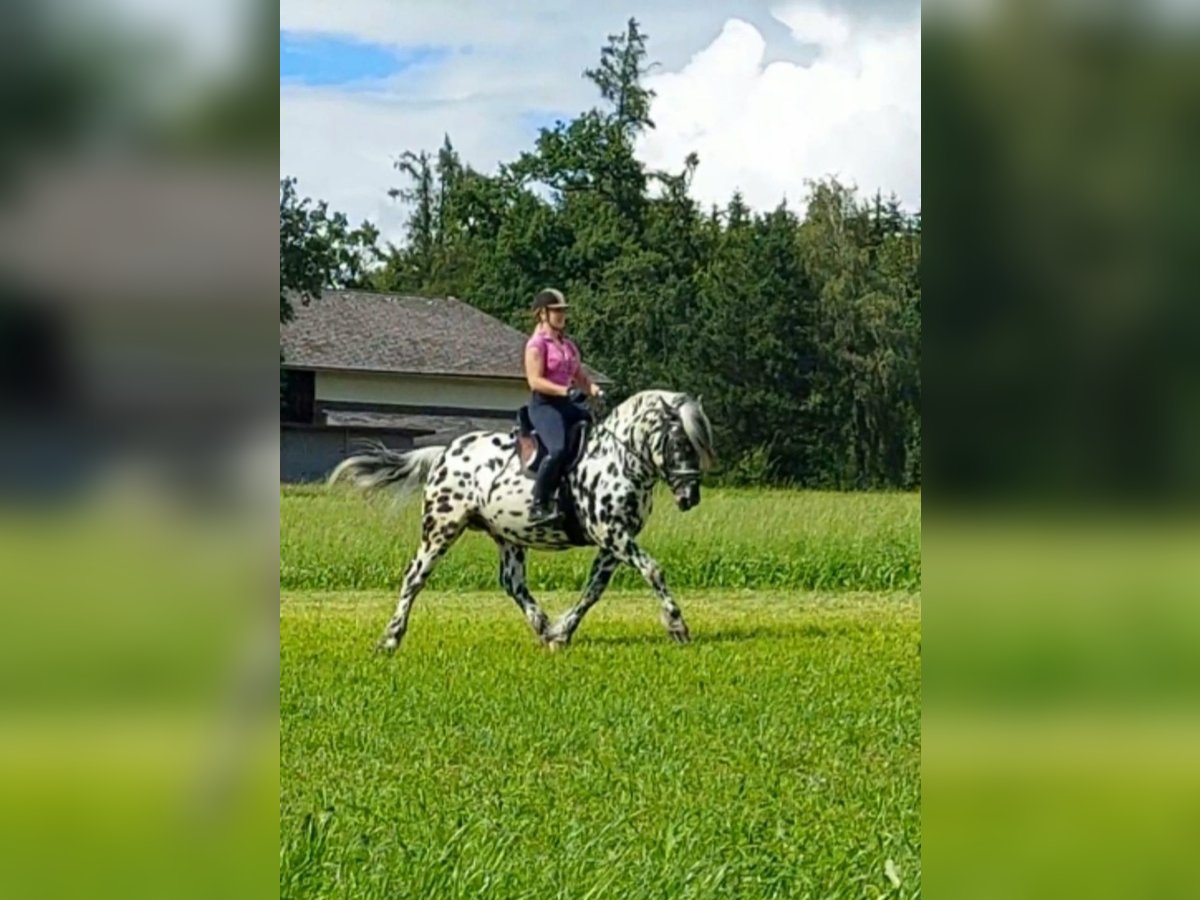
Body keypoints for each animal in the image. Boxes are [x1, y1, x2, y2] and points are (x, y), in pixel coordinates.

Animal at [328, 391, 715, 652]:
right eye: (680, 442)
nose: (690, 498)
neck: (617, 460)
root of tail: (443, 453)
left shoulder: (613, 543)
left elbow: (594, 591)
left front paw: (561, 633)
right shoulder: (614, 536)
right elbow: (653, 570)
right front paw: (678, 625)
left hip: (508, 536)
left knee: (512, 583)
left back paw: (543, 627)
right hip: (441, 529)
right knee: (414, 577)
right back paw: (390, 640)